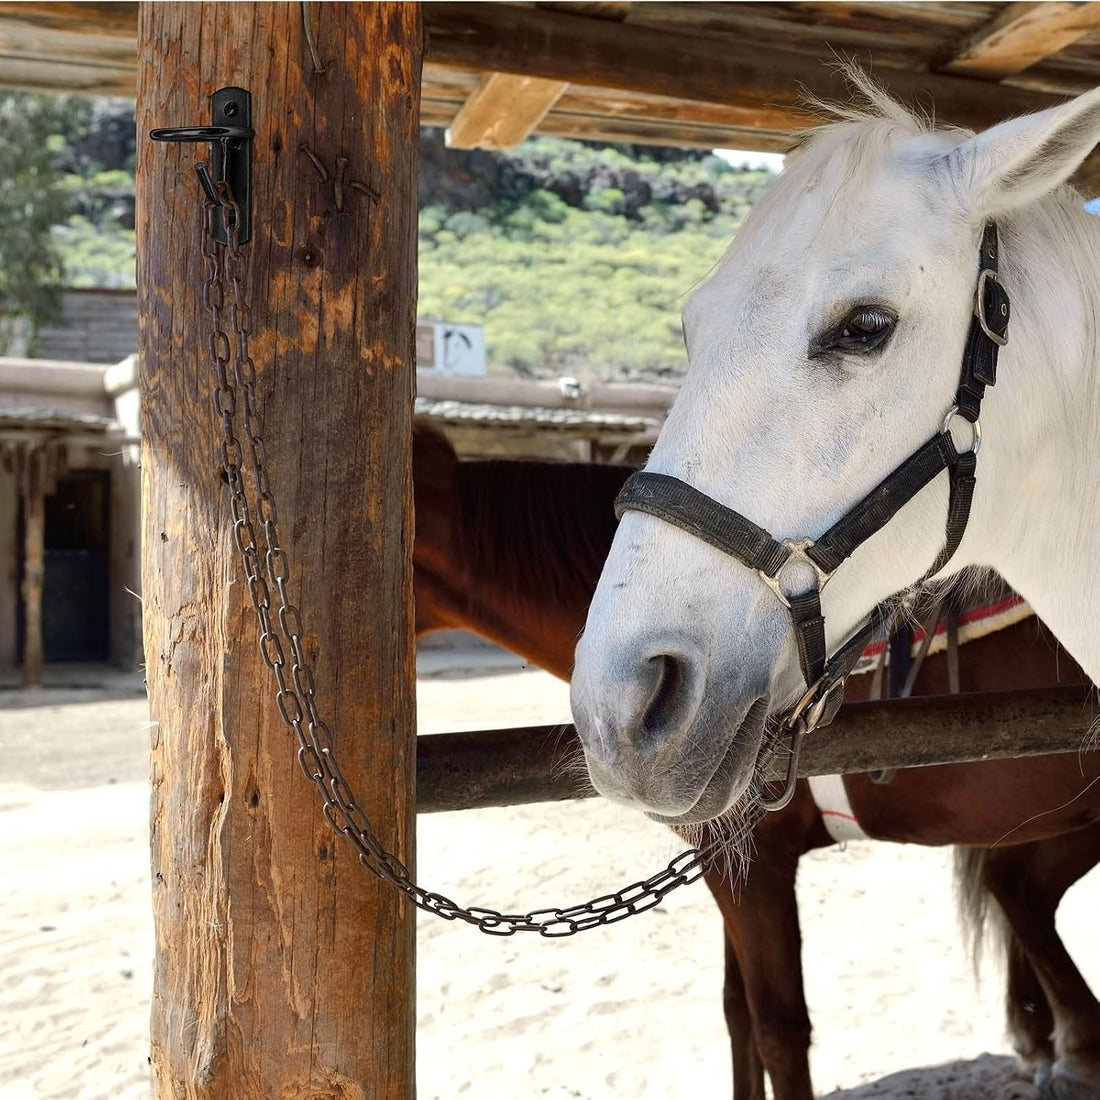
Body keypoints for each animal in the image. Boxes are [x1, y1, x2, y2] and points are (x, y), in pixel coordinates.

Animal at [412, 422, 1100, 1098]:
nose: (625, 715)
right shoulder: (725, 859)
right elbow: (735, 1011)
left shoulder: (755, 865)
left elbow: (776, 1026)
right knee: (1019, 889)